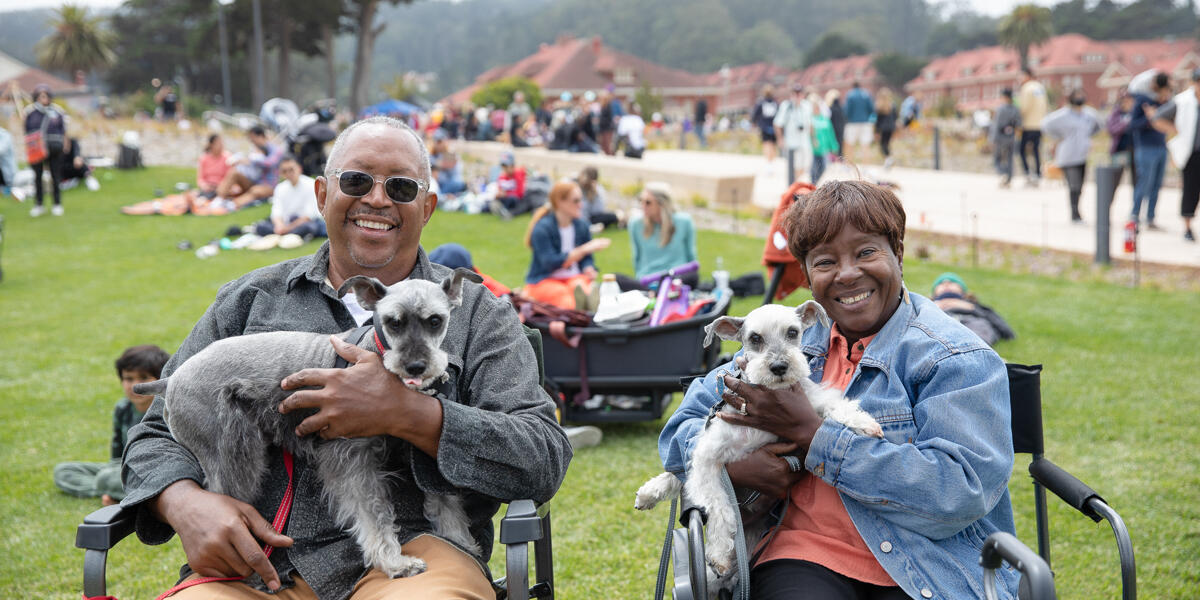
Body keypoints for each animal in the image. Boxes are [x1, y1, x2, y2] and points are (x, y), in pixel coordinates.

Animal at [132, 267, 482, 576]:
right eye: (392, 322)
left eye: (435, 320)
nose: (416, 366)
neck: (375, 356)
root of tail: (171, 378)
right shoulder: (350, 457)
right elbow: (373, 513)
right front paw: (395, 563)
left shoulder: (421, 448)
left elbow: (443, 496)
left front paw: (461, 542)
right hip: (232, 455)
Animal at [638, 300, 883, 585]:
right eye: (755, 338)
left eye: (792, 332)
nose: (779, 367)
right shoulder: (709, 457)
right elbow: (720, 506)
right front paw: (718, 554)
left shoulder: (810, 399)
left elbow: (834, 403)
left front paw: (865, 423)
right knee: (677, 475)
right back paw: (648, 493)